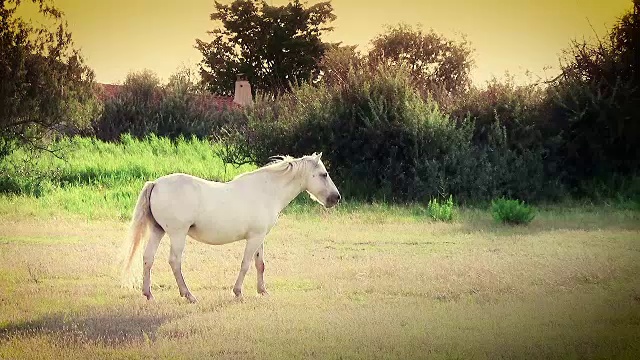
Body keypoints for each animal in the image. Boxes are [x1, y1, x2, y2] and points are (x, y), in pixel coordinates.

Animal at [120, 150, 340, 302]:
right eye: (324, 174)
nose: (336, 198)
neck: (267, 190)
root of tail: (156, 183)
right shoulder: (254, 238)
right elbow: (246, 264)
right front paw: (238, 292)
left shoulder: (259, 237)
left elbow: (260, 264)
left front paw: (262, 291)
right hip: (177, 234)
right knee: (174, 261)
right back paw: (188, 295)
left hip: (158, 231)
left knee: (148, 258)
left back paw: (148, 294)